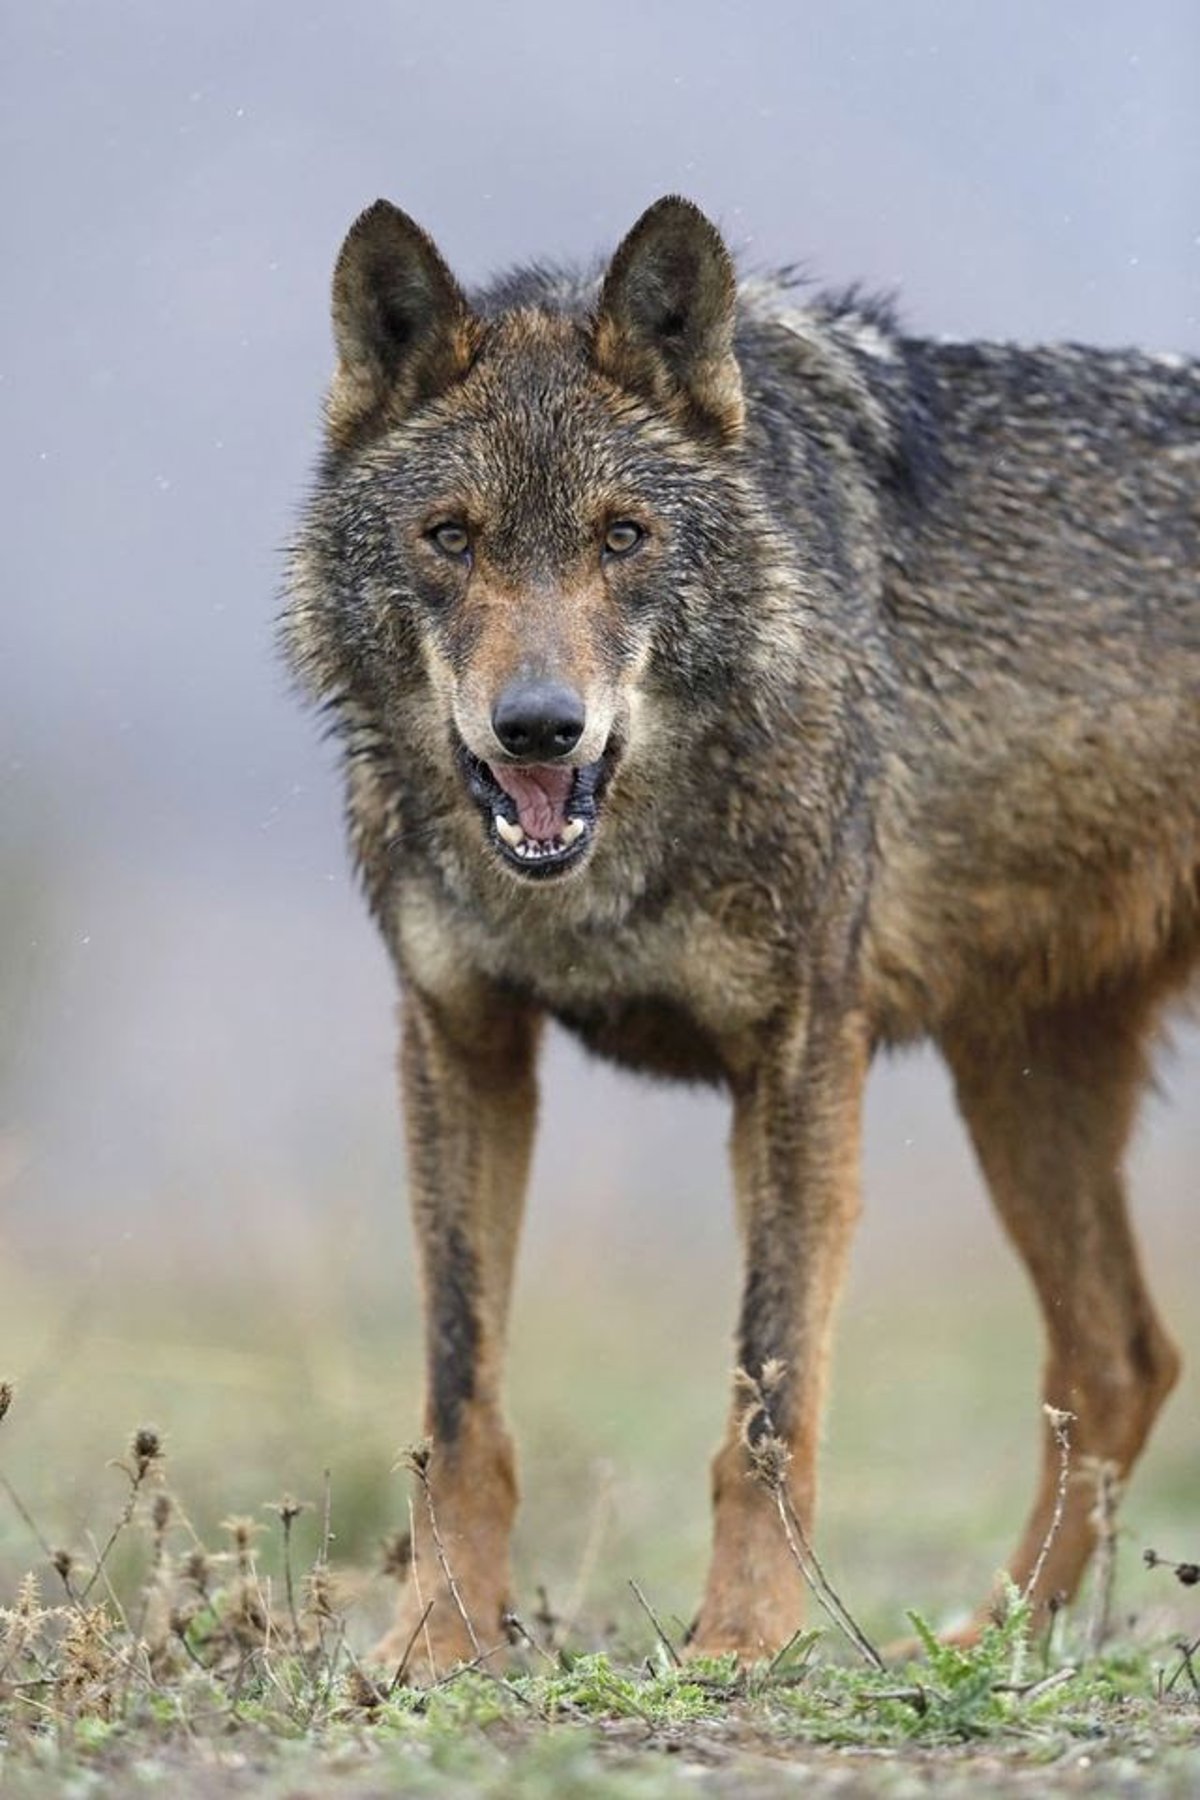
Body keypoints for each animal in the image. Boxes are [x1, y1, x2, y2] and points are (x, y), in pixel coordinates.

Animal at [283, 194, 1199, 1671]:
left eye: (623, 537)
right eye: (452, 536)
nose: (539, 727)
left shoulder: (800, 1055)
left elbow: (768, 1398)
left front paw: (748, 1643)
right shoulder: (460, 1041)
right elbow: (459, 1401)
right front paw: (437, 1642)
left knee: (1115, 1359)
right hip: (1016, 1082)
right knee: (1122, 1357)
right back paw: (981, 1646)